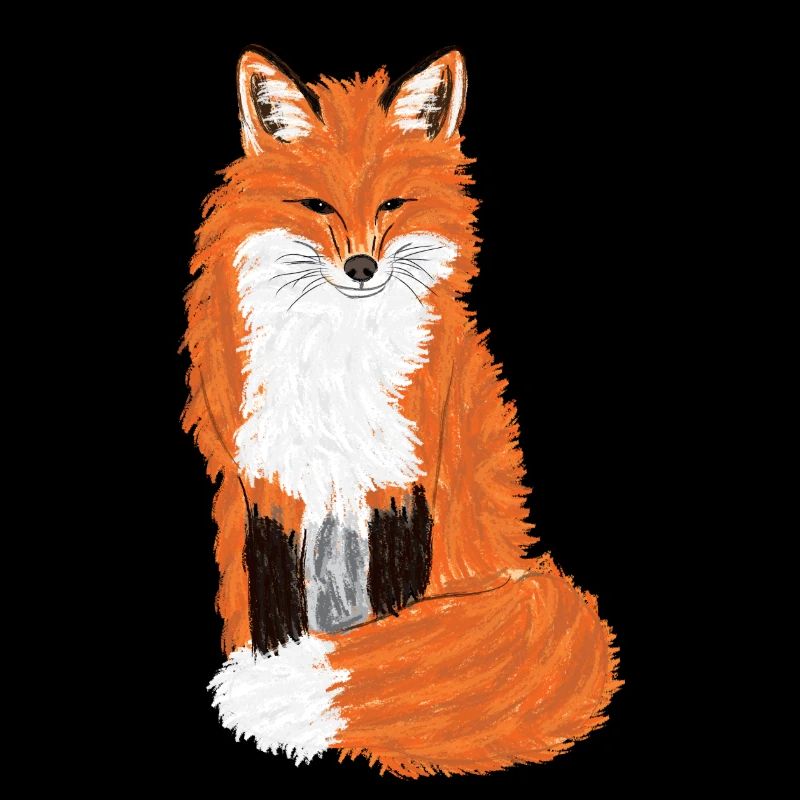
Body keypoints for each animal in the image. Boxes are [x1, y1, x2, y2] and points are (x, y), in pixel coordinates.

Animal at [182, 45, 620, 777]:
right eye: (318, 206)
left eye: (392, 203)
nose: (361, 266)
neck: (338, 358)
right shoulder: (268, 478)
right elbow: (277, 609)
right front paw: (277, 665)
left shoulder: (402, 471)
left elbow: (401, 612)